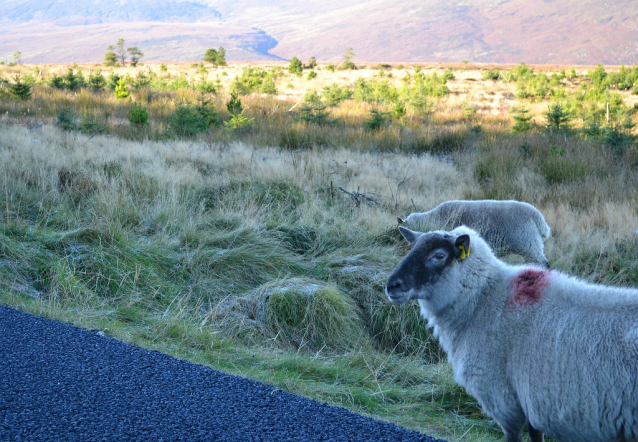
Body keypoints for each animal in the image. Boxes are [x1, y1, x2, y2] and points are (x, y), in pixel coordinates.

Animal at [384, 226, 638, 442]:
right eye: (412, 248)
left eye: (438, 255)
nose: (392, 286)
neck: (484, 299)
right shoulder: (531, 400)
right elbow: (536, 435)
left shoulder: (504, 401)